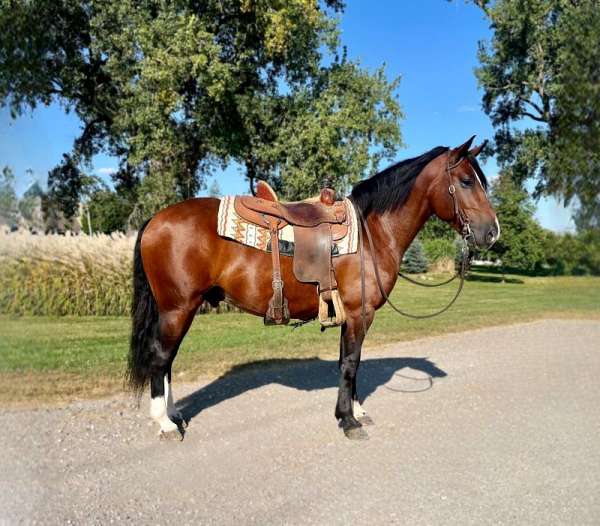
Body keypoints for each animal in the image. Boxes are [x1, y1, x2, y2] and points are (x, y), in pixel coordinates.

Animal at [129, 137, 500, 442]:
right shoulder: (359, 313)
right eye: (466, 181)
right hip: (178, 309)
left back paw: (174, 415)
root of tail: (155, 220)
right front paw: (349, 420)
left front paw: (355, 410)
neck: (373, 233)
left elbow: (349, 362)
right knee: (160, 358)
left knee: (168, 360)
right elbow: (350, 363)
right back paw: (165, 423)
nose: (492, 232)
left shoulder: (350, 315)